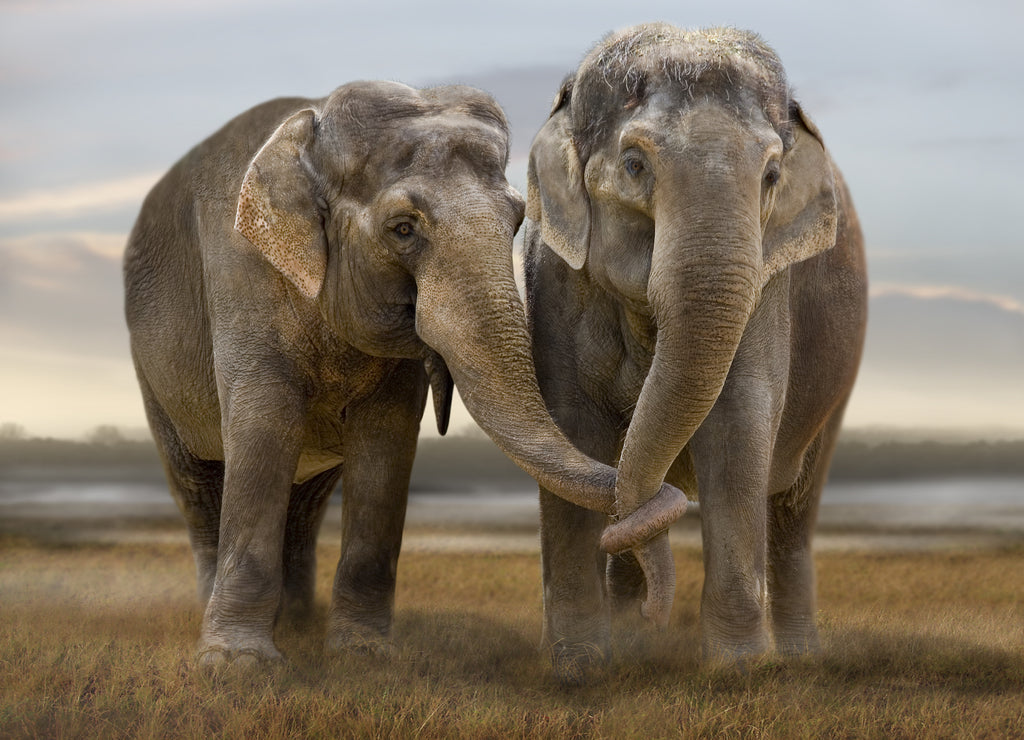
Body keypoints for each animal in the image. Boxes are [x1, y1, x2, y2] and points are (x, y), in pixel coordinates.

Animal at [123, 81, 683, 665]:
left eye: (516, 220)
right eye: (403, 229)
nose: (653, 615)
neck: (312, 132)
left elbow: (386, 443)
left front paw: (364, 657)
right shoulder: (241, 276)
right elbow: (264, 428)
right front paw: (237, 666)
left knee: (306, 500)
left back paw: (298, 627)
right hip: (151, 370)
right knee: (195, 481)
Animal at [524, 25, 868, 681]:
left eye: (771, 175)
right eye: (635, 165)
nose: (658, 613)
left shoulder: (768, 284)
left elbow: (738, 427)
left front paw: (737, 671)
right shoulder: (554, 278)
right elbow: (572, 428)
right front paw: (579, 668)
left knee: (794, 507)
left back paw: (799, 657)